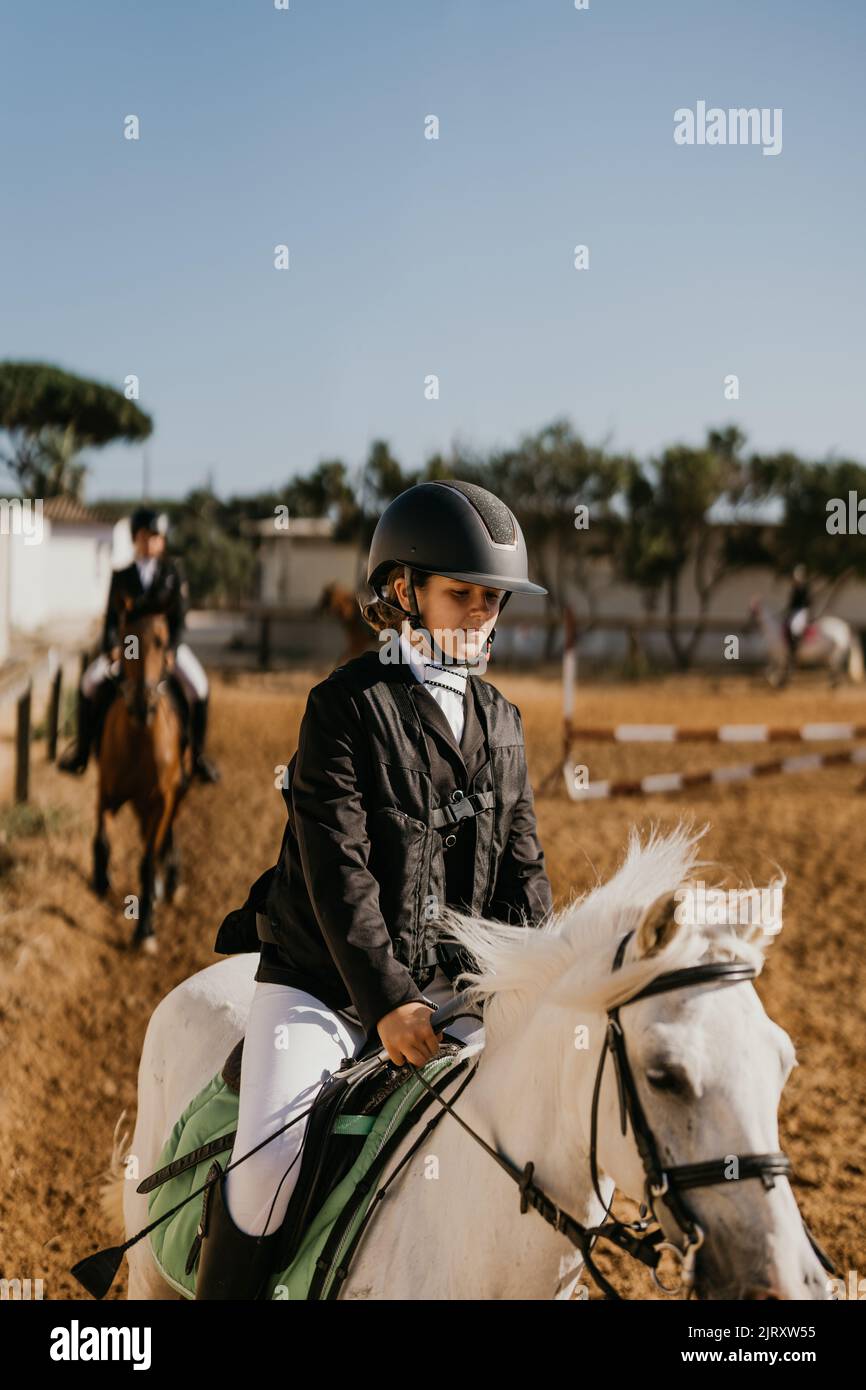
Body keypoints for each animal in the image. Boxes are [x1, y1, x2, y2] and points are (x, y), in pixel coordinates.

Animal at [93, 603, 190, 950]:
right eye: (125, 641)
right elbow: (102, 839)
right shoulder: (106, 791)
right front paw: (101, 879)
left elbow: (147, 860)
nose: (141, 704)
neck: (139, 738)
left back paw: (171, 880)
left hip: (176, 793)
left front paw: (145, 928)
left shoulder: (162, 801)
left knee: (168, 832)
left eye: (161, 642)